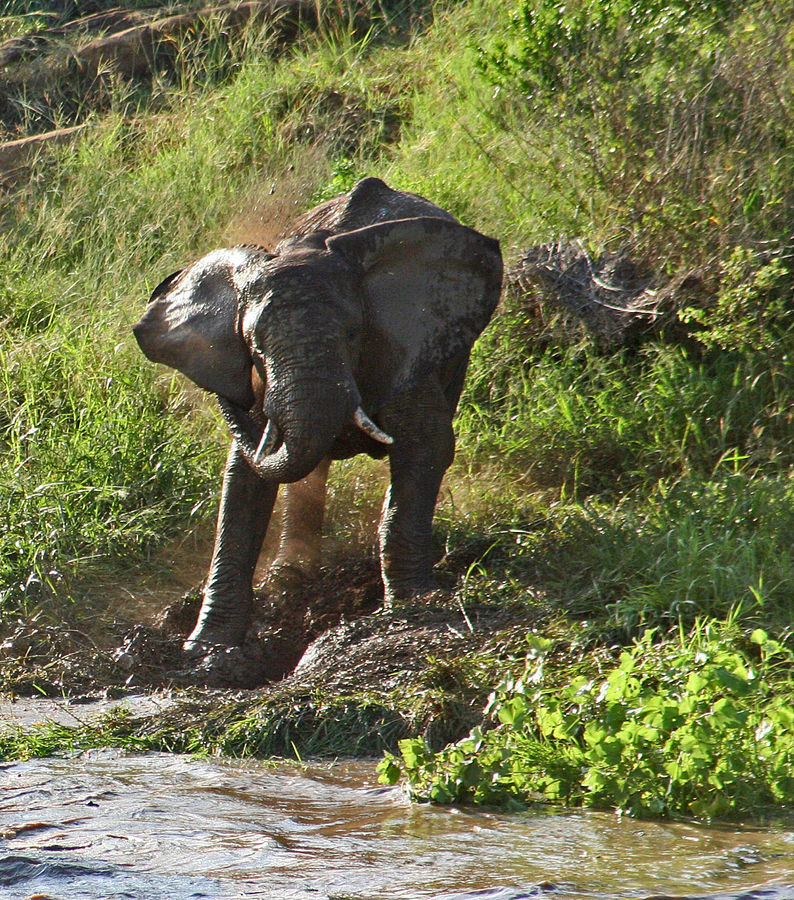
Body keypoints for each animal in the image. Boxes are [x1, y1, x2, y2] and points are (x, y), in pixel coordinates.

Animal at [132, 178, 498, 652]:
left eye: (353, 333)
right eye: (255, 348)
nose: (227, 394)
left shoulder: (405, 344)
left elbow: (426, 444)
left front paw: (412, 606)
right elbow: (244, 479)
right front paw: (207, 649)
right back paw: (288, 579)